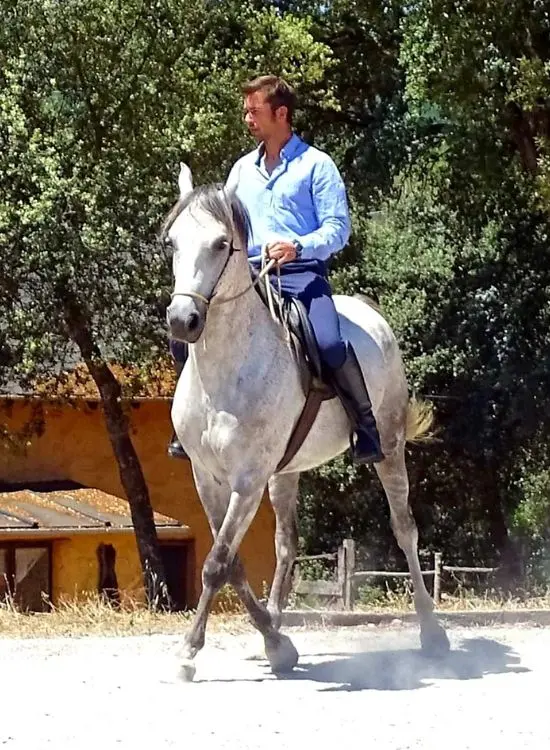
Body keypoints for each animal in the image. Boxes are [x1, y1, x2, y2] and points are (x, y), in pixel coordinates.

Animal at [162, 163, 450, 681]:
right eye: (172, 241)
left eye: (220, 243)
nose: (182, 319)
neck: (228, 370)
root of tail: (371, 313)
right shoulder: (206, 477)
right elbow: (232, 562)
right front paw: (274, 642)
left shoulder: (248, 480)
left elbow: (216, 564)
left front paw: (190, 652)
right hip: (286, 472)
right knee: (286, 544)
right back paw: (275, 624)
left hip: (390, 449)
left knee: (405, 530)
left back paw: (432, 632)